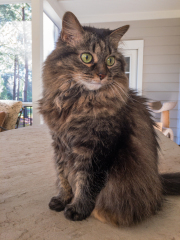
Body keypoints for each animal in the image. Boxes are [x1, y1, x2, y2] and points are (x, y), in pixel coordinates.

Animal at [39, 10, 180, 225]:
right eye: (87, 57)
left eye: (110, 61)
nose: (102, 75)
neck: (76, 101)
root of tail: (159, 182)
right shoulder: (59, 143)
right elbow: (63, 175)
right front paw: (62, 199)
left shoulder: (97, 147)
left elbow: (86, 181)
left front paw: (78, 209)